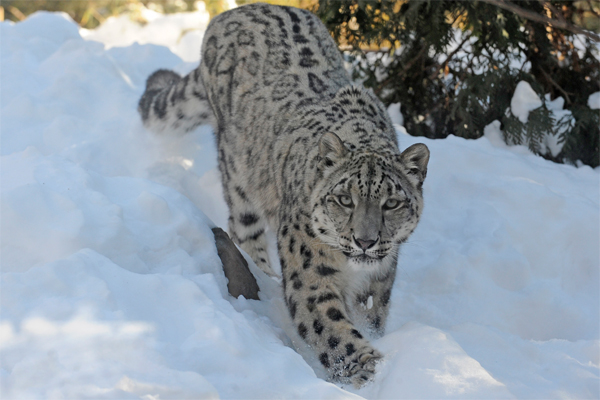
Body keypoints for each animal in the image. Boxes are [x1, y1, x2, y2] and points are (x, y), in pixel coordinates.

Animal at [137, 1, 426, 386]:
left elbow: (371, 318)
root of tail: (235, 12)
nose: (365, 241)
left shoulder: (379, 281)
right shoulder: (311, 275)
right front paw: (372, 371)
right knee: (244, 232)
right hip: (239, 179)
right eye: (344, 199)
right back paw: (262, 278)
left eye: (391, 202)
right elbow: (334, 331)